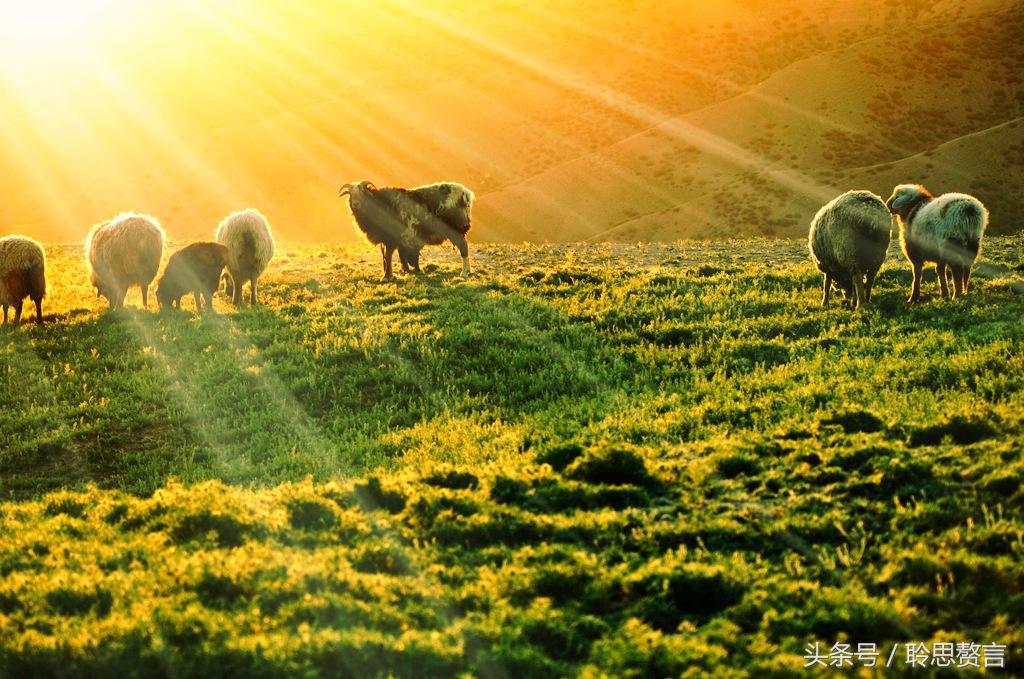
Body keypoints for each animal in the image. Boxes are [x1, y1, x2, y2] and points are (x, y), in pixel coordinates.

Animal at [339, 180, 475, 280]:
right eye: (350, 193)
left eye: (363, 191)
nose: (356, 203)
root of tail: (466, 194)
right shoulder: (392, 240)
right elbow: (395, 257)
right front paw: (396, 274)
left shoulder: (391, 238)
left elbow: (388, 256)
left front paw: (387, 277)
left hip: (455, 229)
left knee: (463, 247)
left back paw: (464, 273)